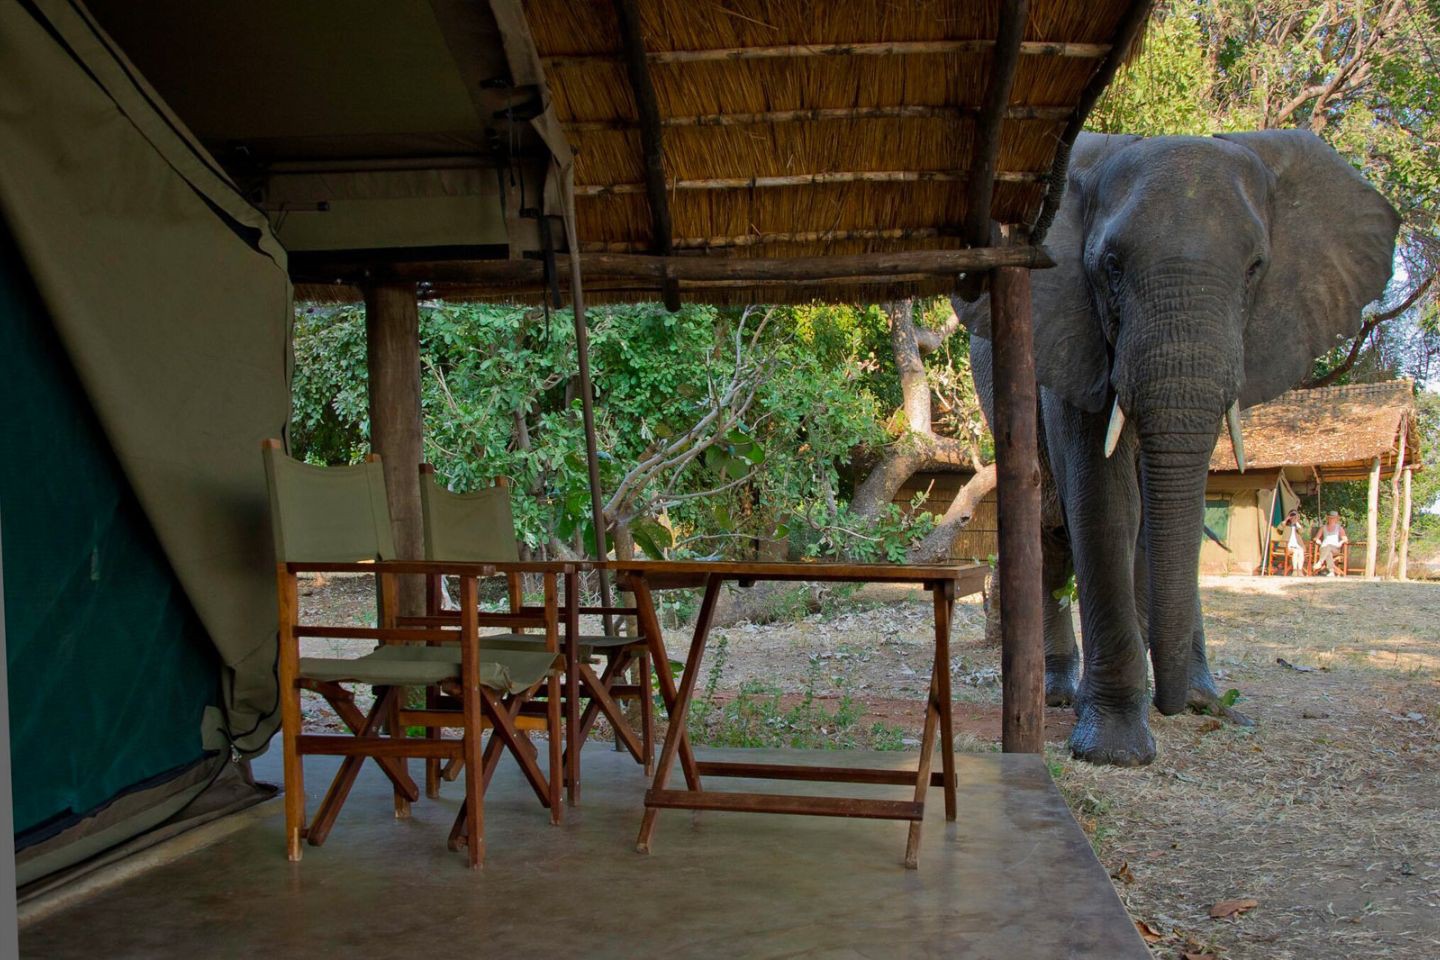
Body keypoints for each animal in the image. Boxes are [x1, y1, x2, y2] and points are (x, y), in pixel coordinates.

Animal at [956, 133, 1393, 765]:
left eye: (1255, 268)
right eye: (1111, 266)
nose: (1171, 704)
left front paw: (1203, 704)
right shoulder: (1072, 336)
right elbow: (1105, 503)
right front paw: (1114, 749)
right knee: (1052, 534)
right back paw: (1059, 695)